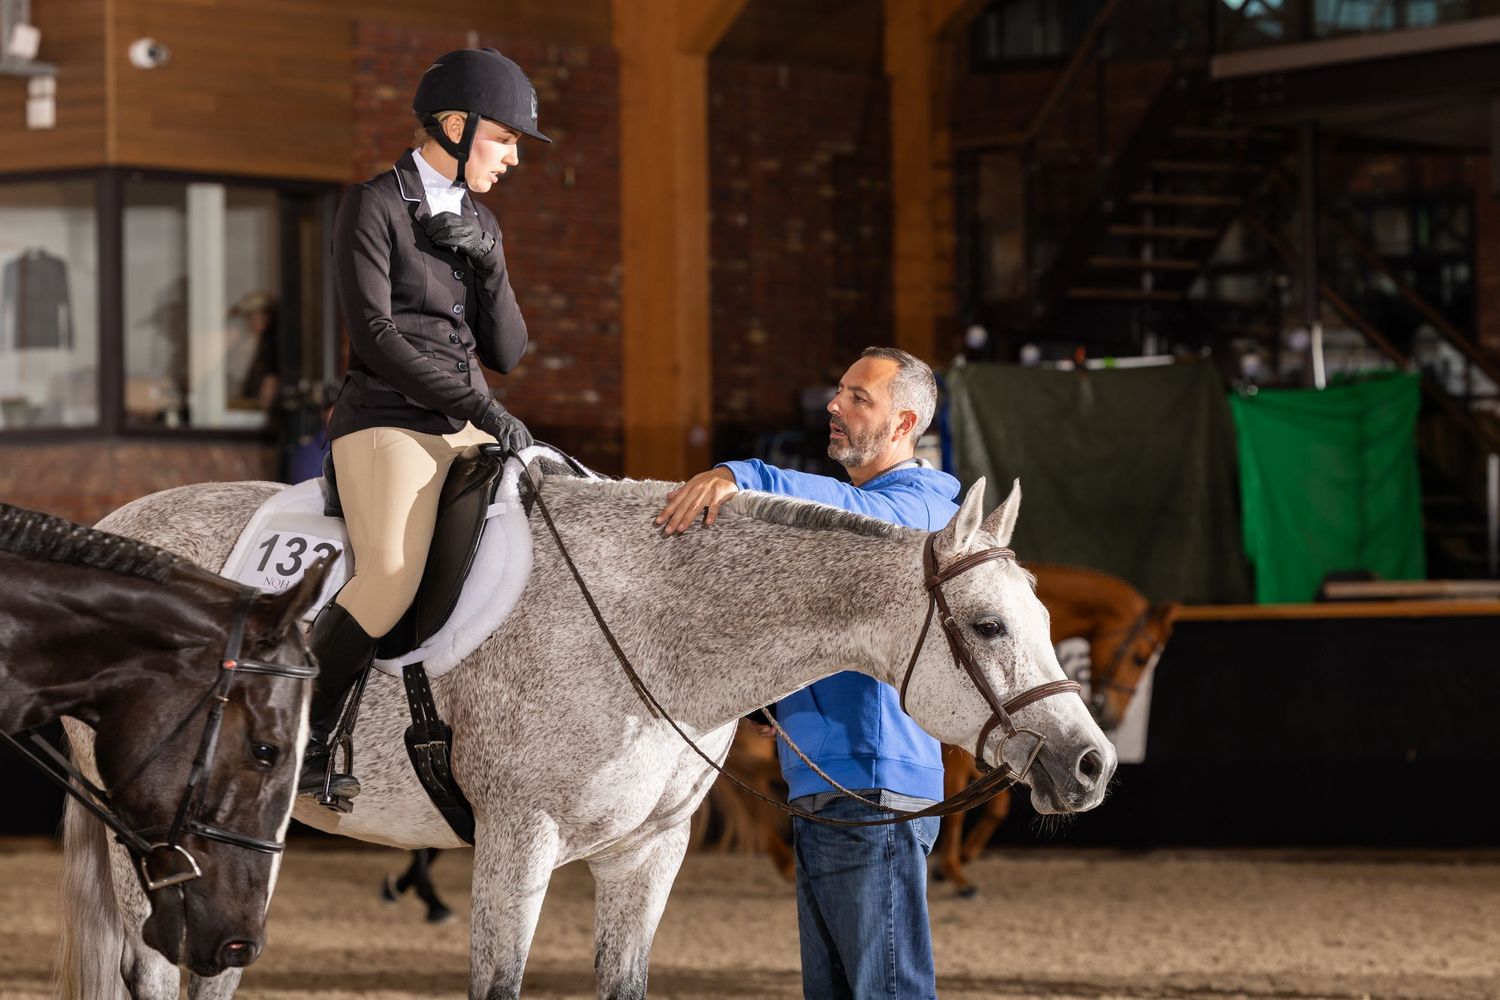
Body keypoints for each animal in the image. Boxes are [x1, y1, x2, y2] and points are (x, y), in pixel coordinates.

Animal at [56, 469, 1117, 1000]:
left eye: (1038, 615)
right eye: (988, 626)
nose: (1090, 761)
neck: (649, 628)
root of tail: (114, 519)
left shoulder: (648, 853)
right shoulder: (517, 841)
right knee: (156, 970)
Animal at [933, 563, 1179, 895]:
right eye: (1140, 659)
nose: (1113, 717)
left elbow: (997, 807)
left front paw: (959, 861)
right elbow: (955, 807)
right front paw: (954, 872)